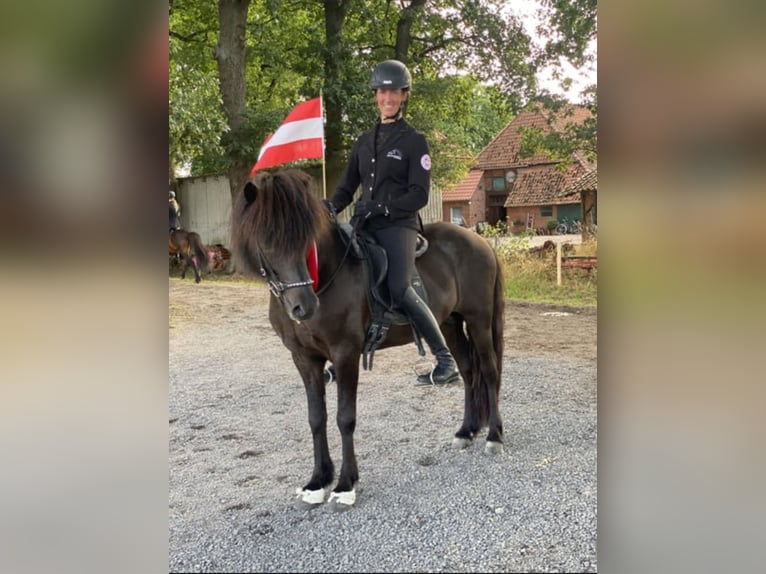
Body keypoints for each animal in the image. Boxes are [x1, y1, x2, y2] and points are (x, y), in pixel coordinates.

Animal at [231, 168, 505, 511]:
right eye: (265, 242)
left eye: (306, 241)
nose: (303, 307)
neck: (327, 276)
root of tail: (480, 240)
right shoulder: (304, 359)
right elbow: (316, 418)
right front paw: (318, 481)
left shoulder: (346, 353)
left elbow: (344, 418)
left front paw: (345, 485)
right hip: (451, 323)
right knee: (469, 373)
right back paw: (466, 431)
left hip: (479, 321)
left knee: (490, 373)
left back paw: (494, 436)